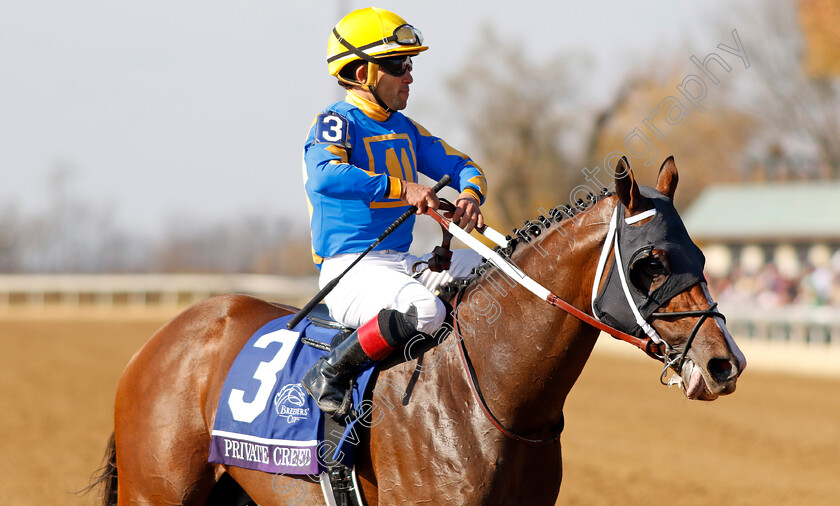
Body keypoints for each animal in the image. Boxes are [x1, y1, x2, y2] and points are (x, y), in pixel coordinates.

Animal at [95, 157, 744, 502]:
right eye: (651, 262)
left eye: (698, 253)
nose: (724, 363)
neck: (492, 396)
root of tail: (162, 339)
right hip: (157, 491)